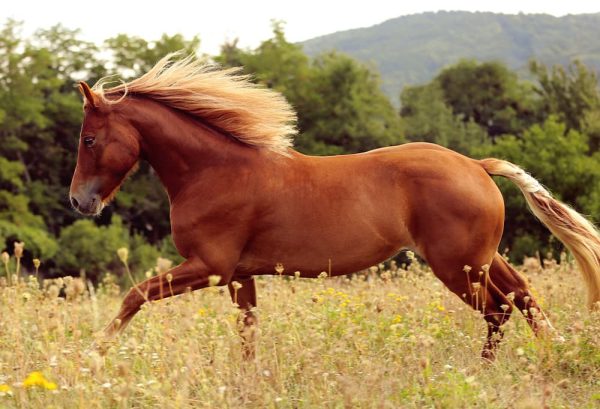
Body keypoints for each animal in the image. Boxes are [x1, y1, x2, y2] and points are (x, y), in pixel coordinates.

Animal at [71, 54, 600, 356]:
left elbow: (134, 294)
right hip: (483, 259)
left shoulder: (210, 267)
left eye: (89, 138)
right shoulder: (239, 276)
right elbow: (248, 336)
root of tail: (476, 164)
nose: (79, 201)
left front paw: (95, 354)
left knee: (499, 312)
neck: (214, 171)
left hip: (458, 267)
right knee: (524, 298)